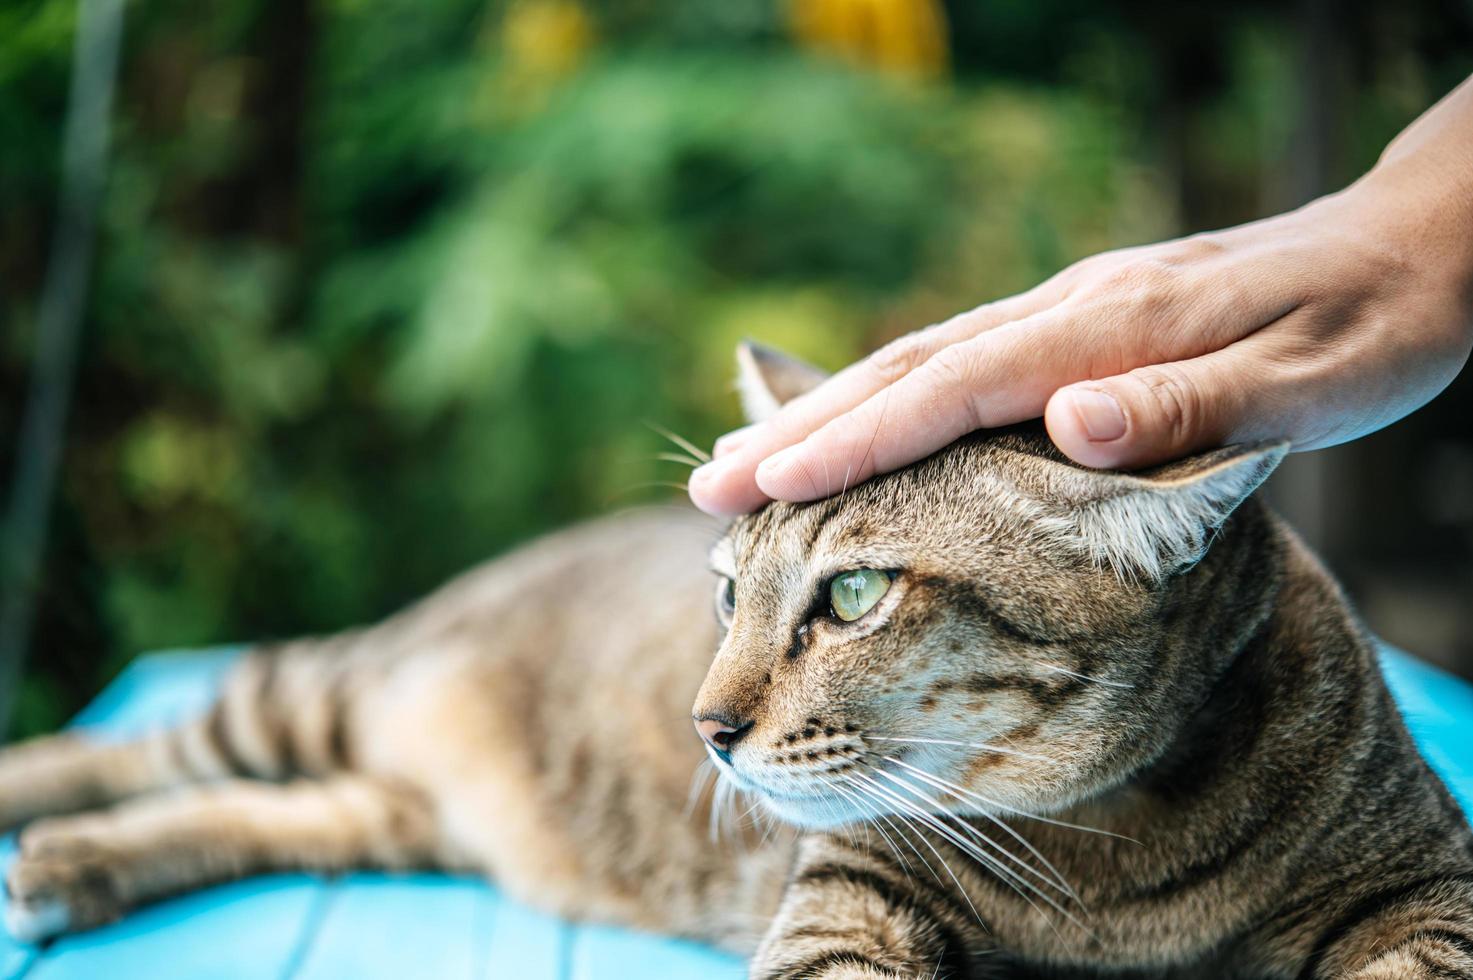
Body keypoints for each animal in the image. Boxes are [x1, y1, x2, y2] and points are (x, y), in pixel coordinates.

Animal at [2, 338, 1473, 978]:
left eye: (854, 594)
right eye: (726, 593)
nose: (701, 726)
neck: (1111, 859)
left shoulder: (1426, 883)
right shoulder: (850, 891)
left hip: (395, 808)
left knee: (277, 811)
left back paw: (76, 868)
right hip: (319, 692)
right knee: (143, 740)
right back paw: (43, 819)